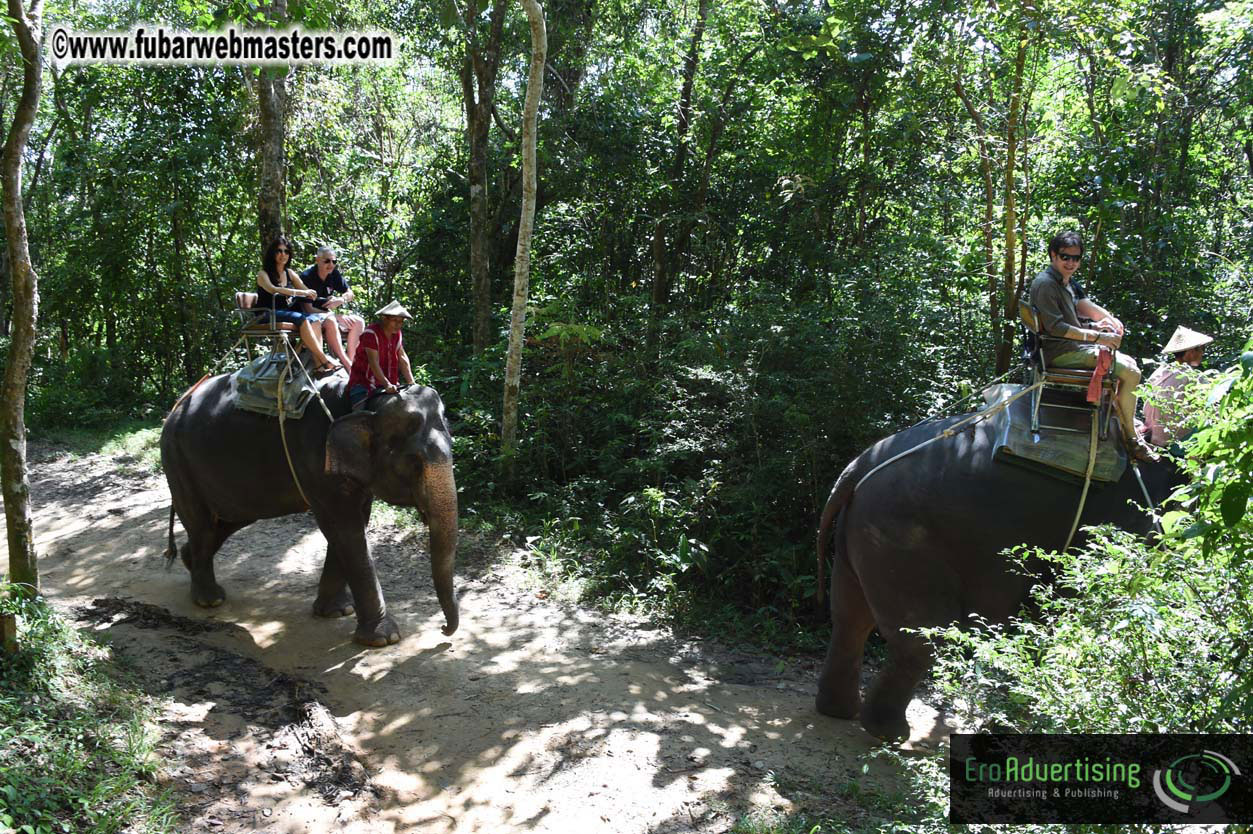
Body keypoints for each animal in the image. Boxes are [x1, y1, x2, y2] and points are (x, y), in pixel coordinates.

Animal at [161, 374, 458, 647]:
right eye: (414, 462)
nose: (443, 630)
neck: (364, 403)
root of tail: (176, 406)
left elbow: (354, 523)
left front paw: (337, 611)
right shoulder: (315, 460)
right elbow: (344, 528)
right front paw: (384, 638)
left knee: (227, 519)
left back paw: (189, 561)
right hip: (177, 460)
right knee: (201, 523)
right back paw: (210, 600)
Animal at [813, 412, 1181, 740]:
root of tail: (857, 469)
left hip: (862, 531)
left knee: (850, 617)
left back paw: (840, 712)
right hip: (905, 537)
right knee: (922, 637)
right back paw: (889, 732)